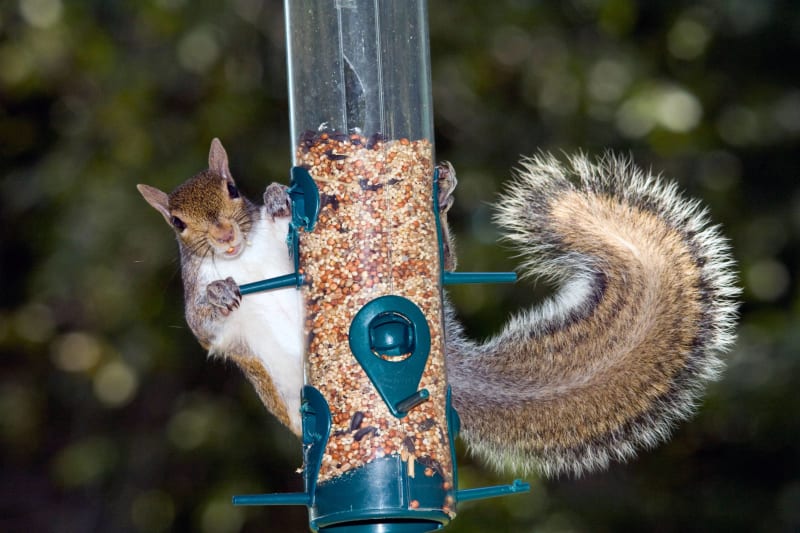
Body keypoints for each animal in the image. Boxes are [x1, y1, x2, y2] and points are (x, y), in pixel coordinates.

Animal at [138, 139, 738, 478]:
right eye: (177, 224)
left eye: (232, 188)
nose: (222, 235)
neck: (245, 257)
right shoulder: (202, 310)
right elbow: (205, 328)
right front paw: (220, 295)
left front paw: (280, 198)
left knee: (445, 255)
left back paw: (443, 194)